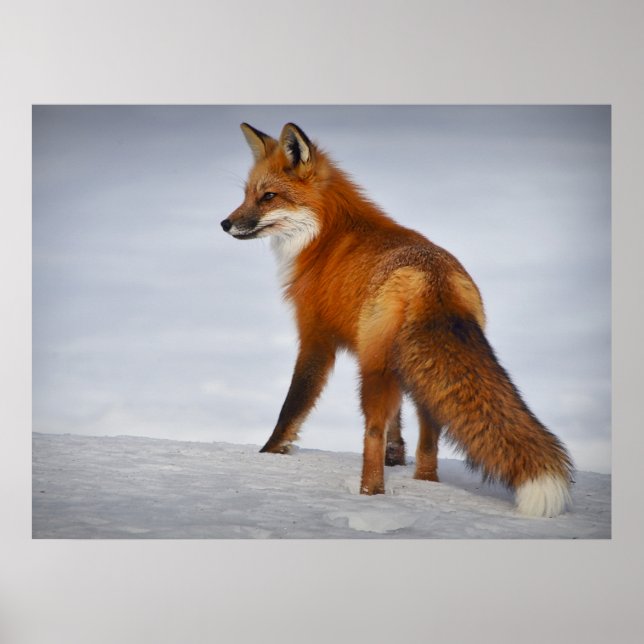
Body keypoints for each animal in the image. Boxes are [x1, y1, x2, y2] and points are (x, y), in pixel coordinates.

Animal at [221, 122, 574, 518]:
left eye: (268, 196)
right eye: (246, 194)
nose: (225, 223)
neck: (325, 237)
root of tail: (433, 280)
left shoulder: (316, 337)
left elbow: (293, 406)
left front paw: (269, 453)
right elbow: (398, 425)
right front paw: (397, 457)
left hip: (374, 370)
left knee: (371, 432)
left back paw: (369, 494)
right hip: (414, 371)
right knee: (429, 437)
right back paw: (425, 483)